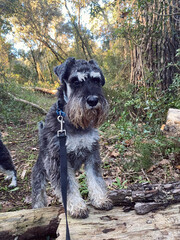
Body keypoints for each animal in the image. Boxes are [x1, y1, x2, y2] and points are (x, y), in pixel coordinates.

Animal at [31, 57, 112, 218]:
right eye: (75, 81)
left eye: (96, 80)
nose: (93, 100)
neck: (75, 124)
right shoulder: (58, 160)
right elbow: (68, 186)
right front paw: (77, 206)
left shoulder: (92, 153)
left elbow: (95, 179)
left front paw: (100, 199)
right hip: (40, 172)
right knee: (38, 193)